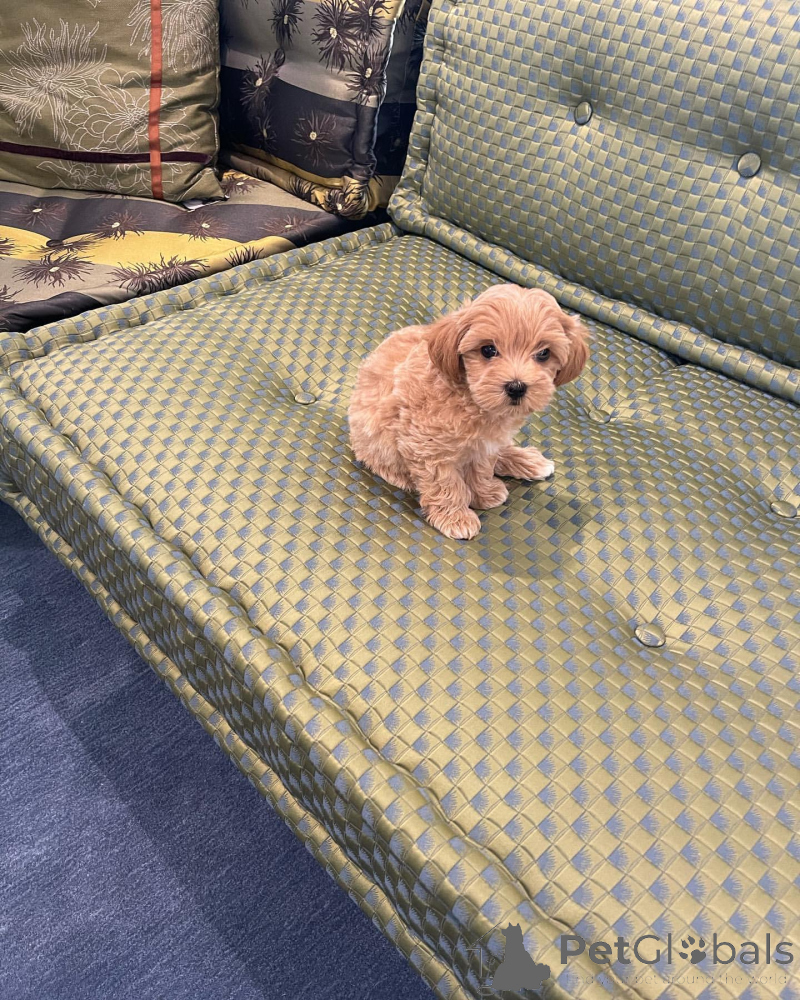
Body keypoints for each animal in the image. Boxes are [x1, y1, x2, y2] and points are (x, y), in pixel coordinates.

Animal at [348, 284, 589, 539]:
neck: (473, 400)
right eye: (488, 350)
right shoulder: (427, 446)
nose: (516, 387)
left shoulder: (486, 445)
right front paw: (456, 517)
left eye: (544, 353)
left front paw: (483, 494)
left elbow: (481, 469)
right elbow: (445, 483)